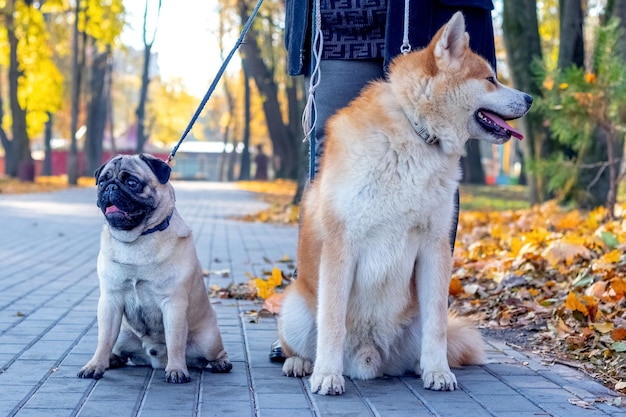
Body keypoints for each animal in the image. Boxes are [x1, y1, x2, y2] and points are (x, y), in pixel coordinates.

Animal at [78, 151, 232, 382]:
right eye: (103, 181)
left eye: (132, 183)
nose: (111, 187)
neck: (137, 239)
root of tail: (154, 360)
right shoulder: (110, 301)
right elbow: (103, 339)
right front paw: (95, 365)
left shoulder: (173, 305)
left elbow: (175, 340)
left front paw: (176, 370)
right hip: (123, 334)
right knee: (118, 347)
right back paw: (112, 359)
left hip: (209, 340)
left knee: (213, 353)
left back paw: (221, 363)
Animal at [278, 10, 532, 394]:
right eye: (491, 80)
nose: (530, 98)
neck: (416, 134)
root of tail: (369, 360)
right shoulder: (341, 245)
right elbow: (332, 322)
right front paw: (326, 375)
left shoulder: (434, 246)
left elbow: (436, 325)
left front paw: (438, 372)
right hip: (294, 308)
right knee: (306, 342)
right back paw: (302, 363)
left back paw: (421, 367)